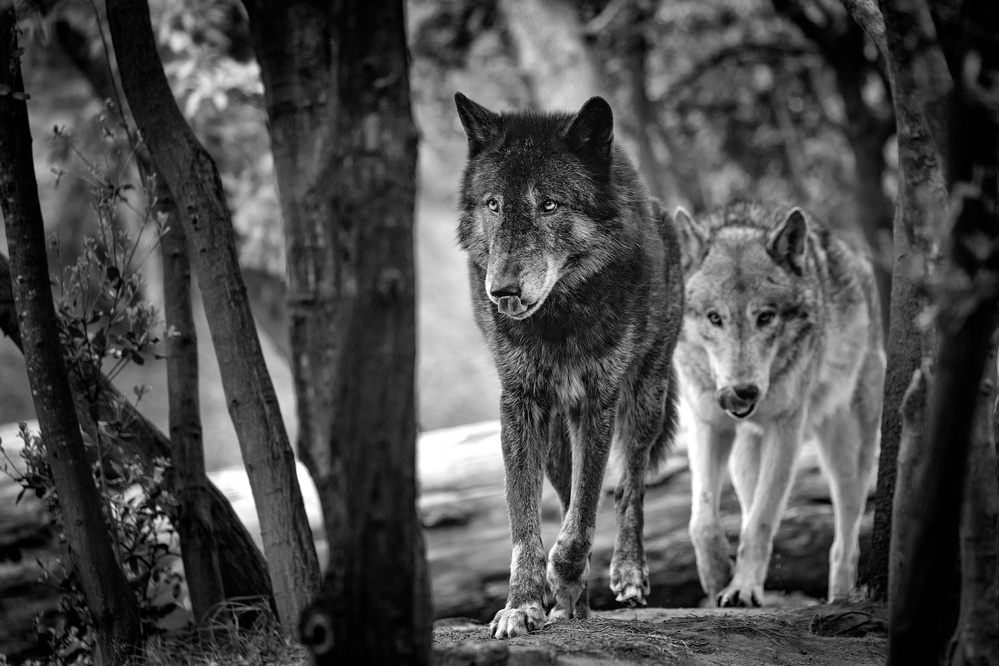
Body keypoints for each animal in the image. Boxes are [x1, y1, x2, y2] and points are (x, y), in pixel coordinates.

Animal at [454, 92, 684, 638]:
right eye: (493, 204)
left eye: (549, 204)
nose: (502, 291)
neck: (557, 321)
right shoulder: (519, 403)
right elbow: (525, 524)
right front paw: (523, 603)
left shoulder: (597, 401)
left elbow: (584, 517)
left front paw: (563, 571)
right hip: (556, 435)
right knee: (566, 495)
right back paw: (572, 604)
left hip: (645, 397)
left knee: (629, 486)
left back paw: (627, 572)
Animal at [674, 201, 884, 607]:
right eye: (714, 318)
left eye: (766, 317)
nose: (743, 392)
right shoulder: (707, 424)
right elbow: (702, 519)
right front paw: (718, 575)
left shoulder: (786, 429)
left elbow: (762, 520)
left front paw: (742, 587)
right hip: (743, 458)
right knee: (746, 505)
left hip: (847, 456)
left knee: (845, 542)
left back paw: (840, 600)